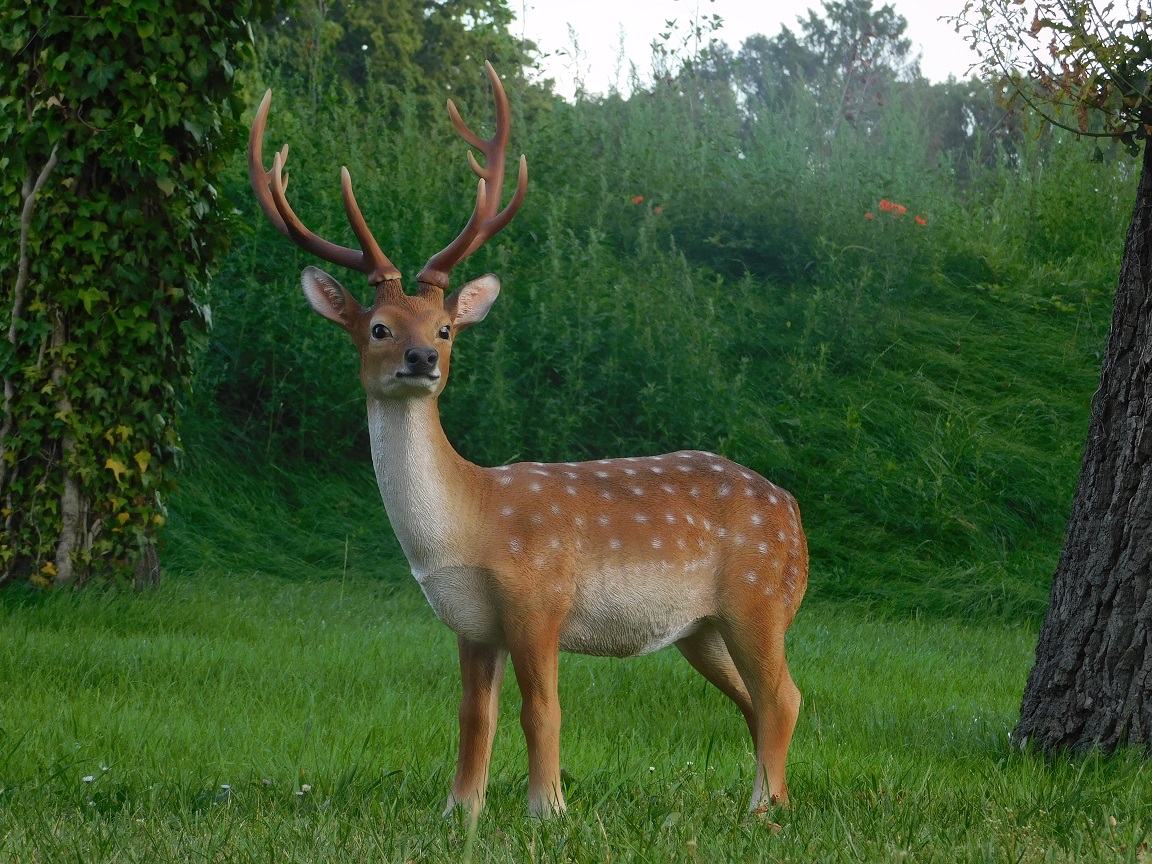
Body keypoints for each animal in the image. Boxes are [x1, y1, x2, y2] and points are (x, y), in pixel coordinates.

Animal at [249, 61, 811, 820]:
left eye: (445, 329)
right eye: (378, 328)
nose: (421, 359)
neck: (468, 525)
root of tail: (795, 514)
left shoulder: (538, 597)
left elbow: (541, 711)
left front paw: (547, 810)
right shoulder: (471, 623)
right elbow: (473, 716)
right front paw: (460, 811)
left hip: (757, 596)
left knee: (783, 695)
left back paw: (761, 813)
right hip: (702, 627)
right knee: (760, 702)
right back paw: (769, 802)